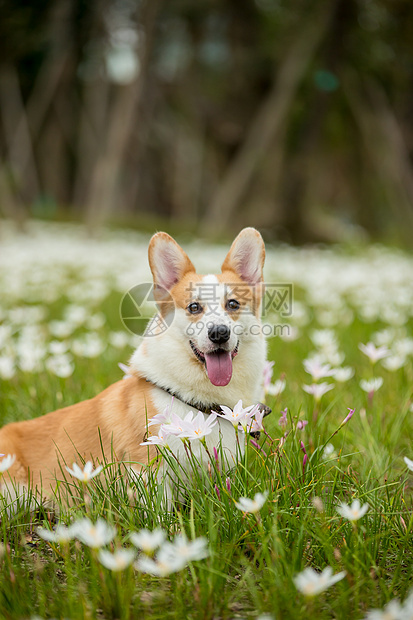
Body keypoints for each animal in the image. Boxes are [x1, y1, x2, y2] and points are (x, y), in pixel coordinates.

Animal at [0, 228, 268, 504]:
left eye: (233, 304)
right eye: (194, 307)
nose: (219, 333)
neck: (198, 403)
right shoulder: (147, 468)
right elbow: (162, 509)